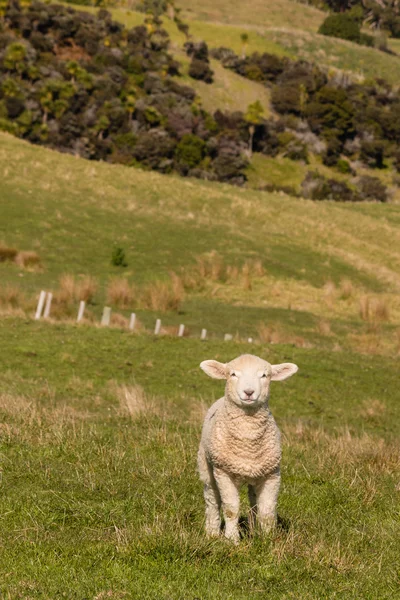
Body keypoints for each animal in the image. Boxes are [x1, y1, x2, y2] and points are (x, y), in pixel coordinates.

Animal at [198, 354, 298, 540]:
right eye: (233, 374)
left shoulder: (272, 474)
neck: (248, 443)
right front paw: (231, 539)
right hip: (206, 466)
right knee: (212, 499)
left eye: (264, 375)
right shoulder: (224, 472)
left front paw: (268, 539)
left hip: (255, 474)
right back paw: (212, 532)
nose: (249, 392)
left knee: (253, 502)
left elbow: (267, 510)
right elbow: (231, 509)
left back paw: (253, 529)